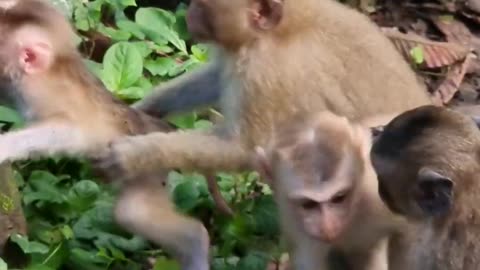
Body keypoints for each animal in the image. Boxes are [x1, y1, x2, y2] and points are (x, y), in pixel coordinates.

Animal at [0, 1, 219, 268]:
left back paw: (195, 242)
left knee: (133, 212)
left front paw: (4, 146)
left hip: (147, 165)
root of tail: (156, 126)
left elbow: (68, 130)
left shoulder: (48, 97)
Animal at [94, 0, 436, 184]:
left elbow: (245, 149)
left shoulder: (267, 73)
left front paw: (135, 156)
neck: (287, 27)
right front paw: (147, 106)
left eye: (203, 6)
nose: (189, 12)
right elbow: (216, 79)